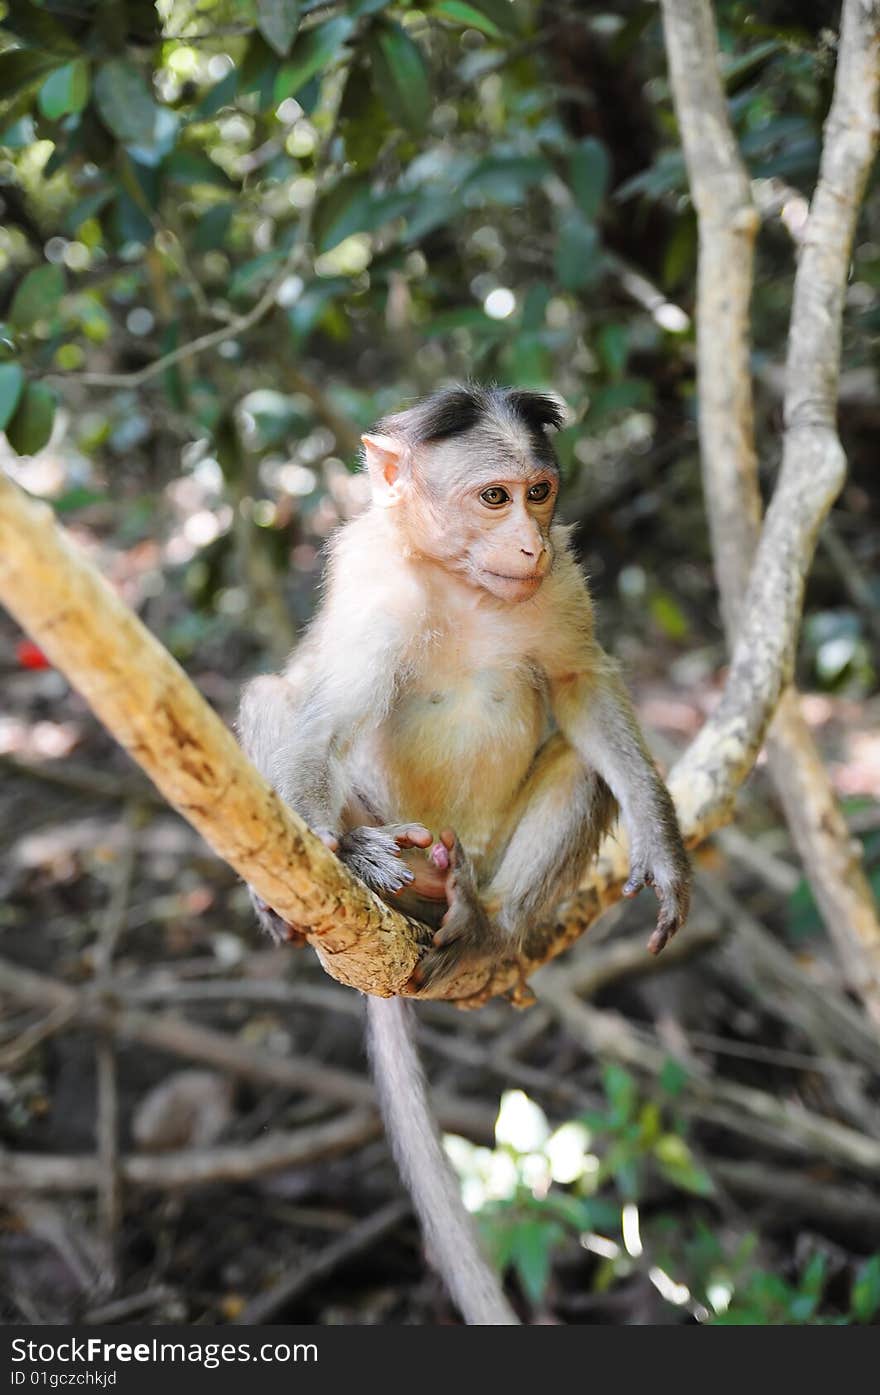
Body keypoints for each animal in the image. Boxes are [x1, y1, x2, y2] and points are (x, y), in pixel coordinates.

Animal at [237, 387, 691, 1322]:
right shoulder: (375, 593)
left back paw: (489, 925)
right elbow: (319, 719)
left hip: (483, 858)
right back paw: (374, 865)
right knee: (275, 695)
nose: (528, 541)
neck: (459, 579)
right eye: (493, 497)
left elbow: (581, 682)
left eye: (539, 492)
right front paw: (330, 856)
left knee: (581, 768)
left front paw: (662, 843)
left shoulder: (561, 581)